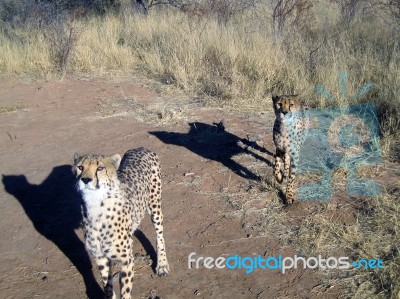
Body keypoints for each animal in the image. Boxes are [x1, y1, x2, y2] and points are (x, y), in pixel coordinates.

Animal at [72, 148, 170, 299]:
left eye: (100, 168)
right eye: (80, 167)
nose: (85, 179)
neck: (96, 204)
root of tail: (140, 148)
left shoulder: (127, 260)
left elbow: (125, 291)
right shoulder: (100, 257)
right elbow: (107, 285)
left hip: (155, 206)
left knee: (159, 235)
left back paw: (162, 265)